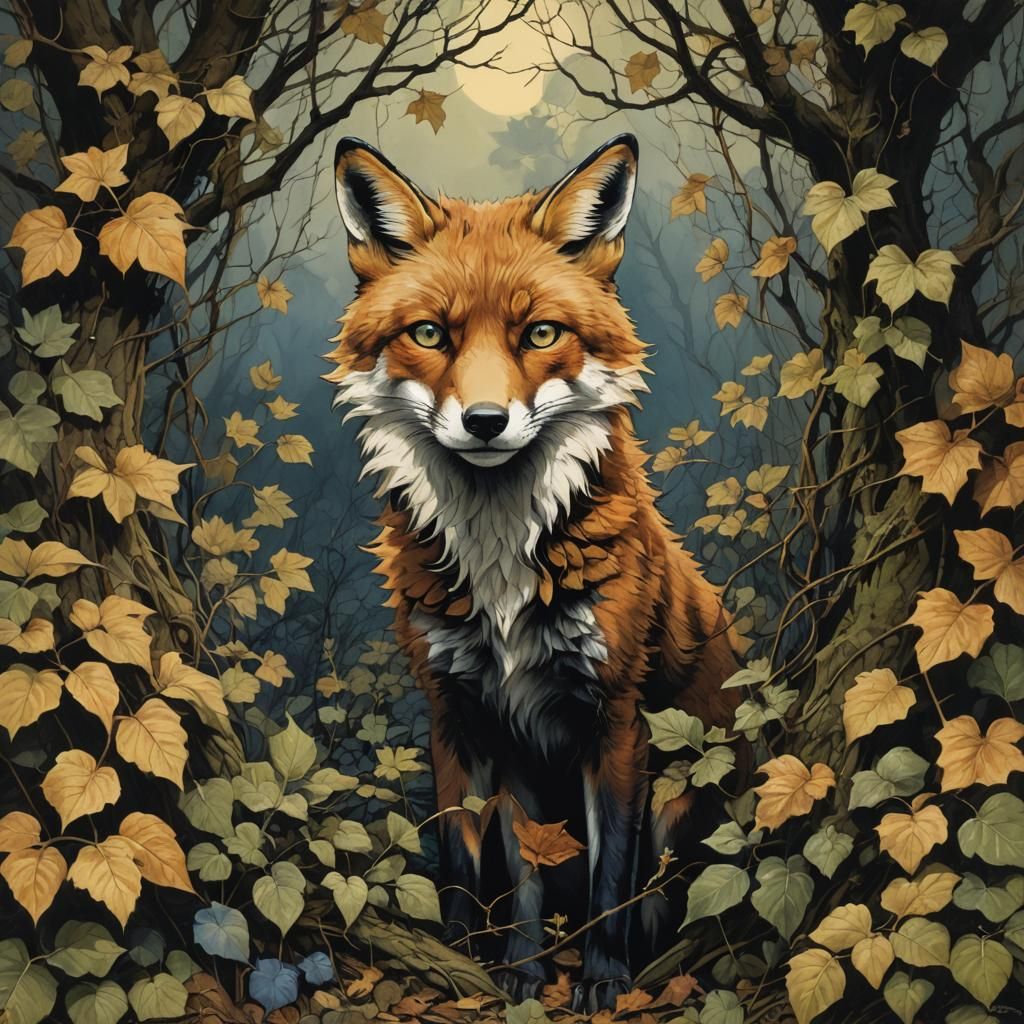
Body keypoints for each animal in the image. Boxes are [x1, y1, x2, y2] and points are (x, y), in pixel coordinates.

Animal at [326, 134, 741, 1008]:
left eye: (541, 333)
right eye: (430, 334)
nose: (486, 421)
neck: (501, 575)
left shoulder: (616, 715)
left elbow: (613, 873)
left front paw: (604, 977)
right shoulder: (467, 714)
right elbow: (488, 863)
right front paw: (500, 971)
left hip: (683, 793)